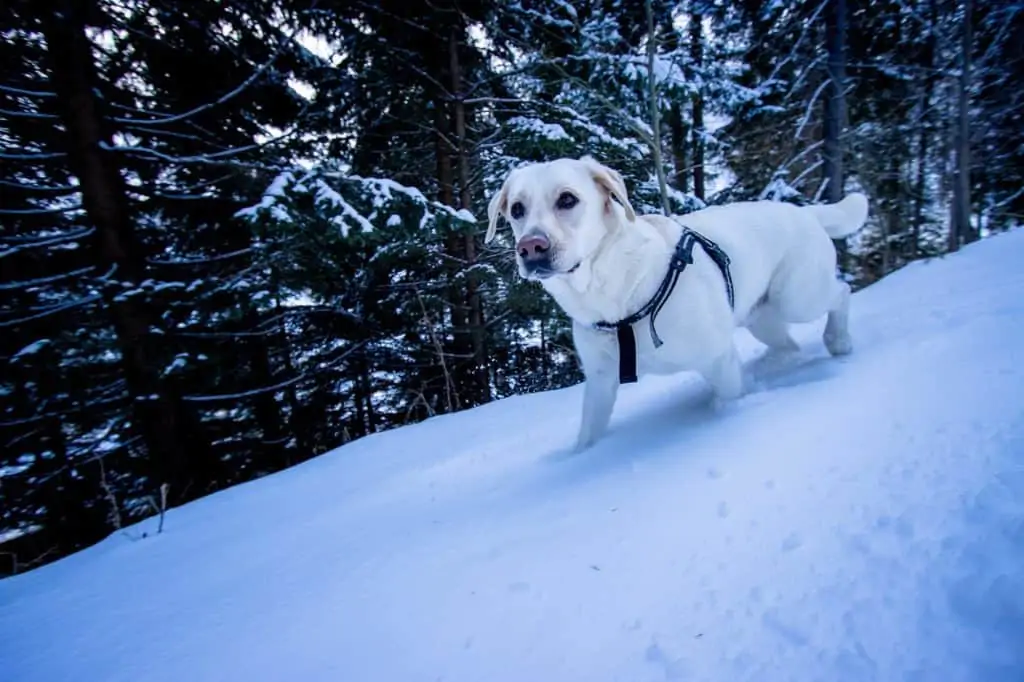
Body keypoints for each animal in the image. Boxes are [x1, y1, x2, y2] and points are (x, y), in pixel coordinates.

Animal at [483, 155, 868, 448]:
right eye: (517, 209)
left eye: (567, 199)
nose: (531, 247)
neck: (613, 294)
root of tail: (805, 211)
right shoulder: (601, 380)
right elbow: (588, 435)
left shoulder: (717, 357)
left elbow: (731, 396)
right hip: (761, 317)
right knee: (789, 343)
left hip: (797, 297)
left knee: (842, 292)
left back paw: (839, 341)